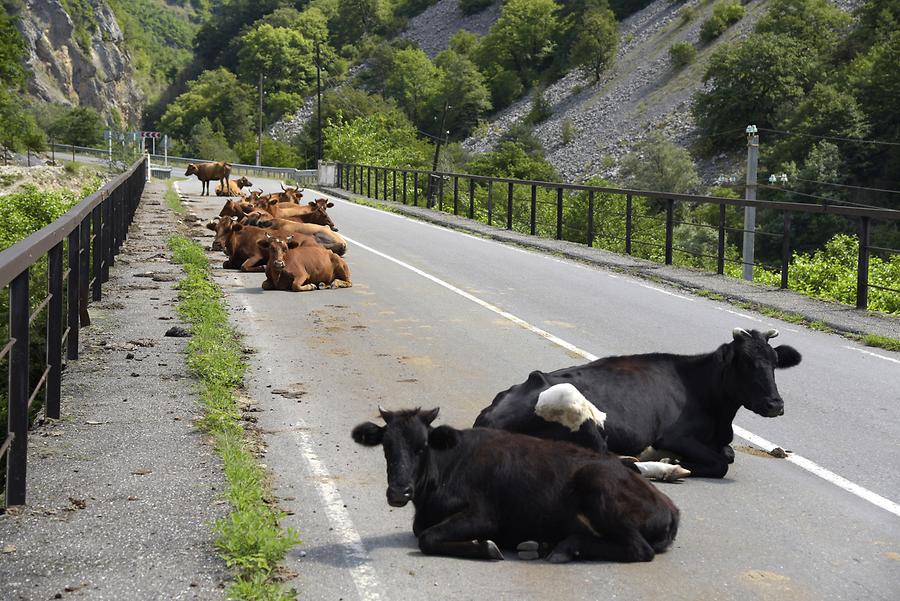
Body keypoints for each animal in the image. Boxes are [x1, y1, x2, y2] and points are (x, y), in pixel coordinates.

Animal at [352, 406, 684, 560]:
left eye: (422, 446)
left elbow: (427, 537)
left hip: (598, 484)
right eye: (386, 446)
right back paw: (544, 544)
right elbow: (421, 531)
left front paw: (487, 547)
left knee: (639, 549)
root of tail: (671, 507)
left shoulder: (484, 515)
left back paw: (562, 548)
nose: (399, 492)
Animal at [474, 328, 804, 478]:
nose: (776, 404)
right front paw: (677, 462)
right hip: (573, 405)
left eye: (775, 362)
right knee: (613, 462)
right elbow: (721, 464)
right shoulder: (674, 436)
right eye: (746, 363)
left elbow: (729, 454)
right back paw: (666, 468)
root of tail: (488, 415)